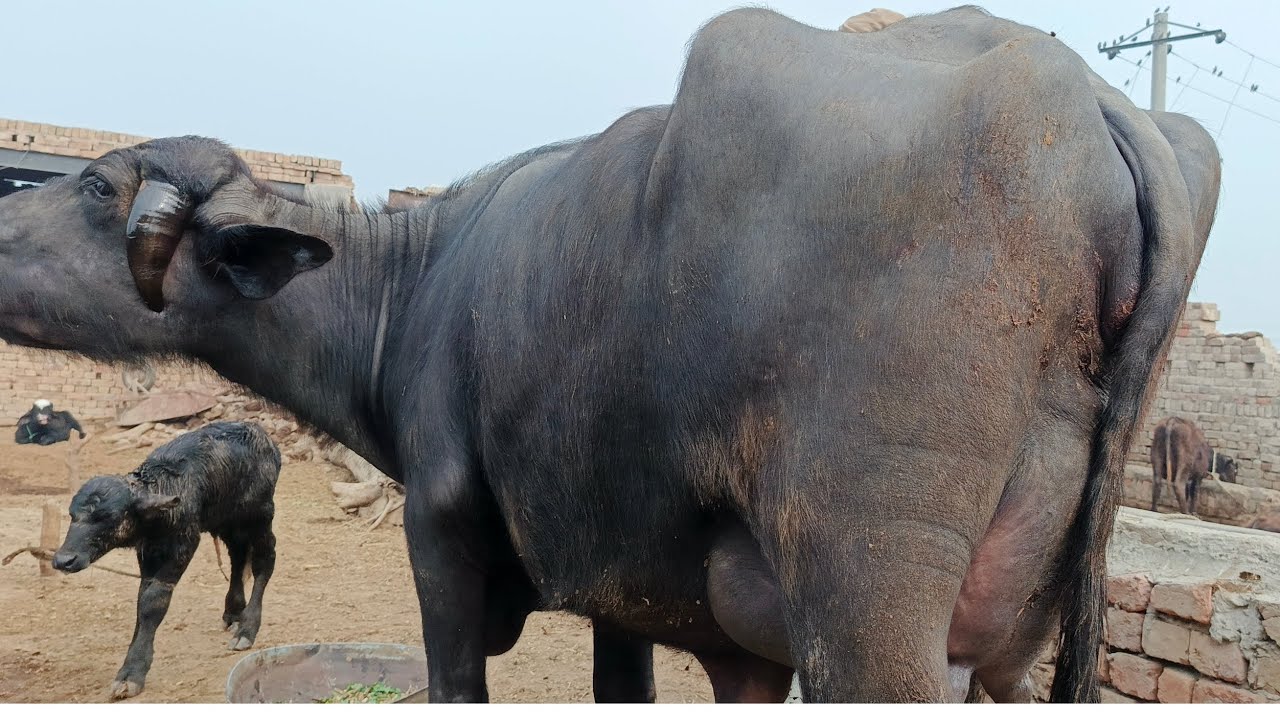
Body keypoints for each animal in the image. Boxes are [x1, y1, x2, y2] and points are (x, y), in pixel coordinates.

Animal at [0, 7, 1220, 703]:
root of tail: (1099, 112)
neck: (417, 289)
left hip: (871, 611)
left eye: (99, 185)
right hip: (1016, 646)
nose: (2, 223)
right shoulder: (627, 599)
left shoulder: (441, 538)